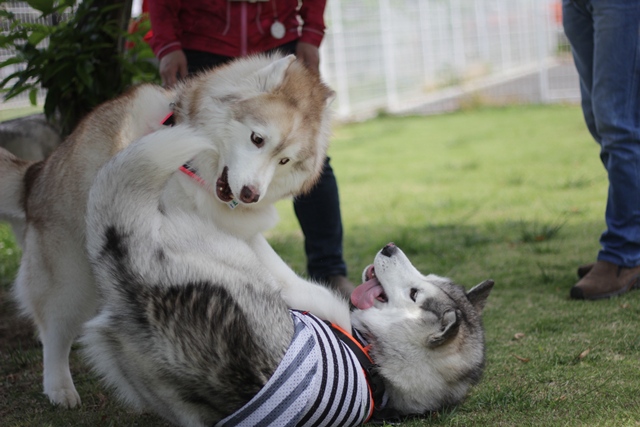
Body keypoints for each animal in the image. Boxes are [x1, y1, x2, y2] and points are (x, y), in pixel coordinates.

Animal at [0, 53, 344, 408]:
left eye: (284, 161)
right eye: (257, 139)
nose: (251, 194)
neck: (194, 169)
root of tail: (37, 173)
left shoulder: (240, 236)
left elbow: (280, 278)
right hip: (71, 280)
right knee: (53, 333)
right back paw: (60, 388)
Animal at [81, 122, 496, 426]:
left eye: (414, 295)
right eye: (426, 277)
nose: (390, 247)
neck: (377, 361)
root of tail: (141, 291)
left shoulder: (295, 286)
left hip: (219, 247)